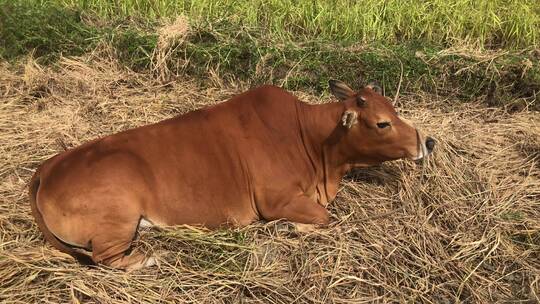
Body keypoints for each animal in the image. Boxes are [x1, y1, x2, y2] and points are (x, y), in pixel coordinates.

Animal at [28, 79, 434, 270]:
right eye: (382, 123)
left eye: (394, 109)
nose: (427, 141)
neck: (313, 139)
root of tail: (46, 168)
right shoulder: (276, 200)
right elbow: (326, 218)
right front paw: (291, 228)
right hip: (118, 218)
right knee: (106, 259)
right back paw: (149, 258)